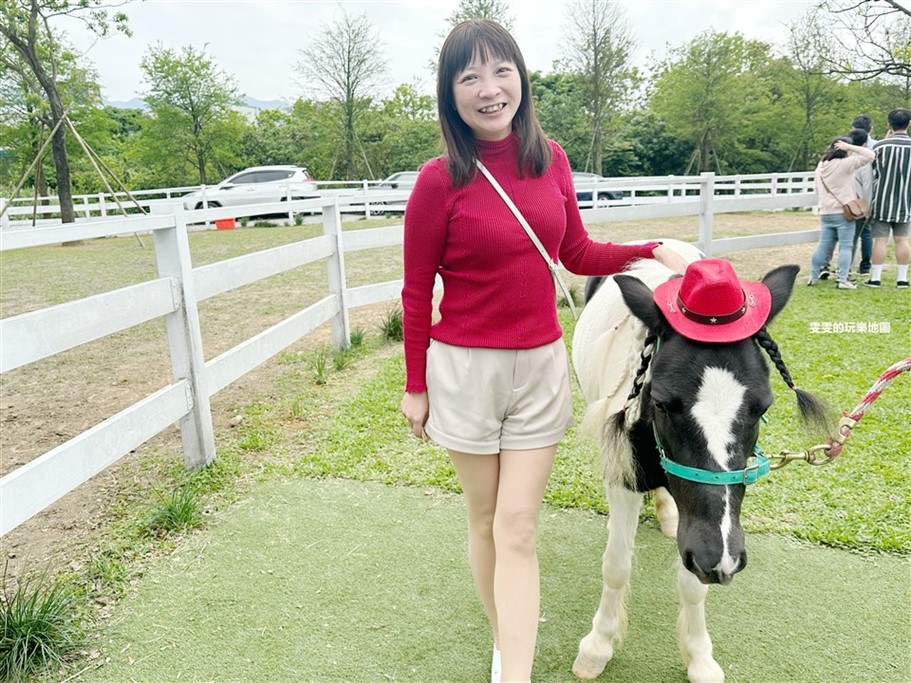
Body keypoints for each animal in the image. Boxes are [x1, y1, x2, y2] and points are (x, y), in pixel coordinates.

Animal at [572, 242, 832, 683]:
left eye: (763, 407)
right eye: (661, 403)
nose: (723, 559)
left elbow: (692, 580)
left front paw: (699, 657)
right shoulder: (624, 480)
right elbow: (617, 564)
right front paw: (597, 647)